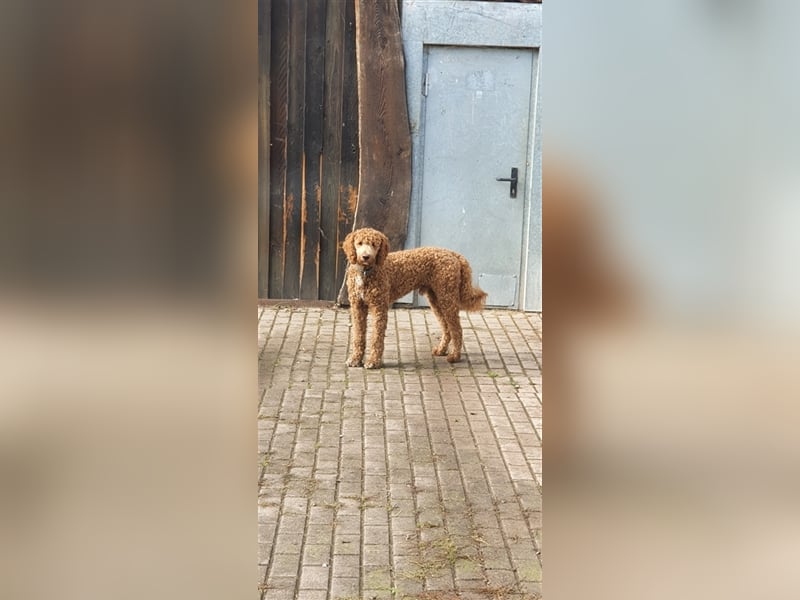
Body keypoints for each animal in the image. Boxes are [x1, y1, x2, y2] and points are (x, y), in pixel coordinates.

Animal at [340, 227, 484, 368]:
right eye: (359, 243)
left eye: (374, 245)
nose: (366, 256)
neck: (366, 273)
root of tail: (453, 254)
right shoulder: (357, 307)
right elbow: (358, 335)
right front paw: (355, 359)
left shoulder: (379, 308)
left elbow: (377, 337)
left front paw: (373, 361)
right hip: (436, 299)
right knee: (447, 328)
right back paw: (441, 350)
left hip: (447, 297)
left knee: (457, 329)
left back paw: (454, 356)